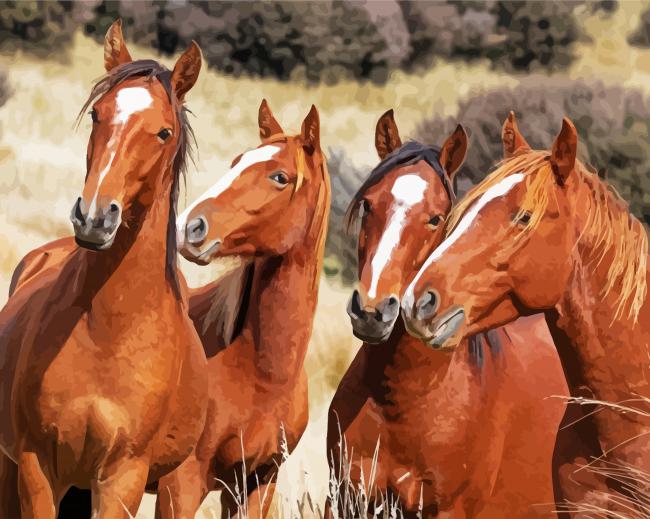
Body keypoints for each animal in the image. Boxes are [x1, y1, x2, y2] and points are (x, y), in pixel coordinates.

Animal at [0, 19, 208, 516]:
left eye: (163, 133)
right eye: (98, 114)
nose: (94, 217)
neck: (107, 329)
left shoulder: (121, 478)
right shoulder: (37, 466)